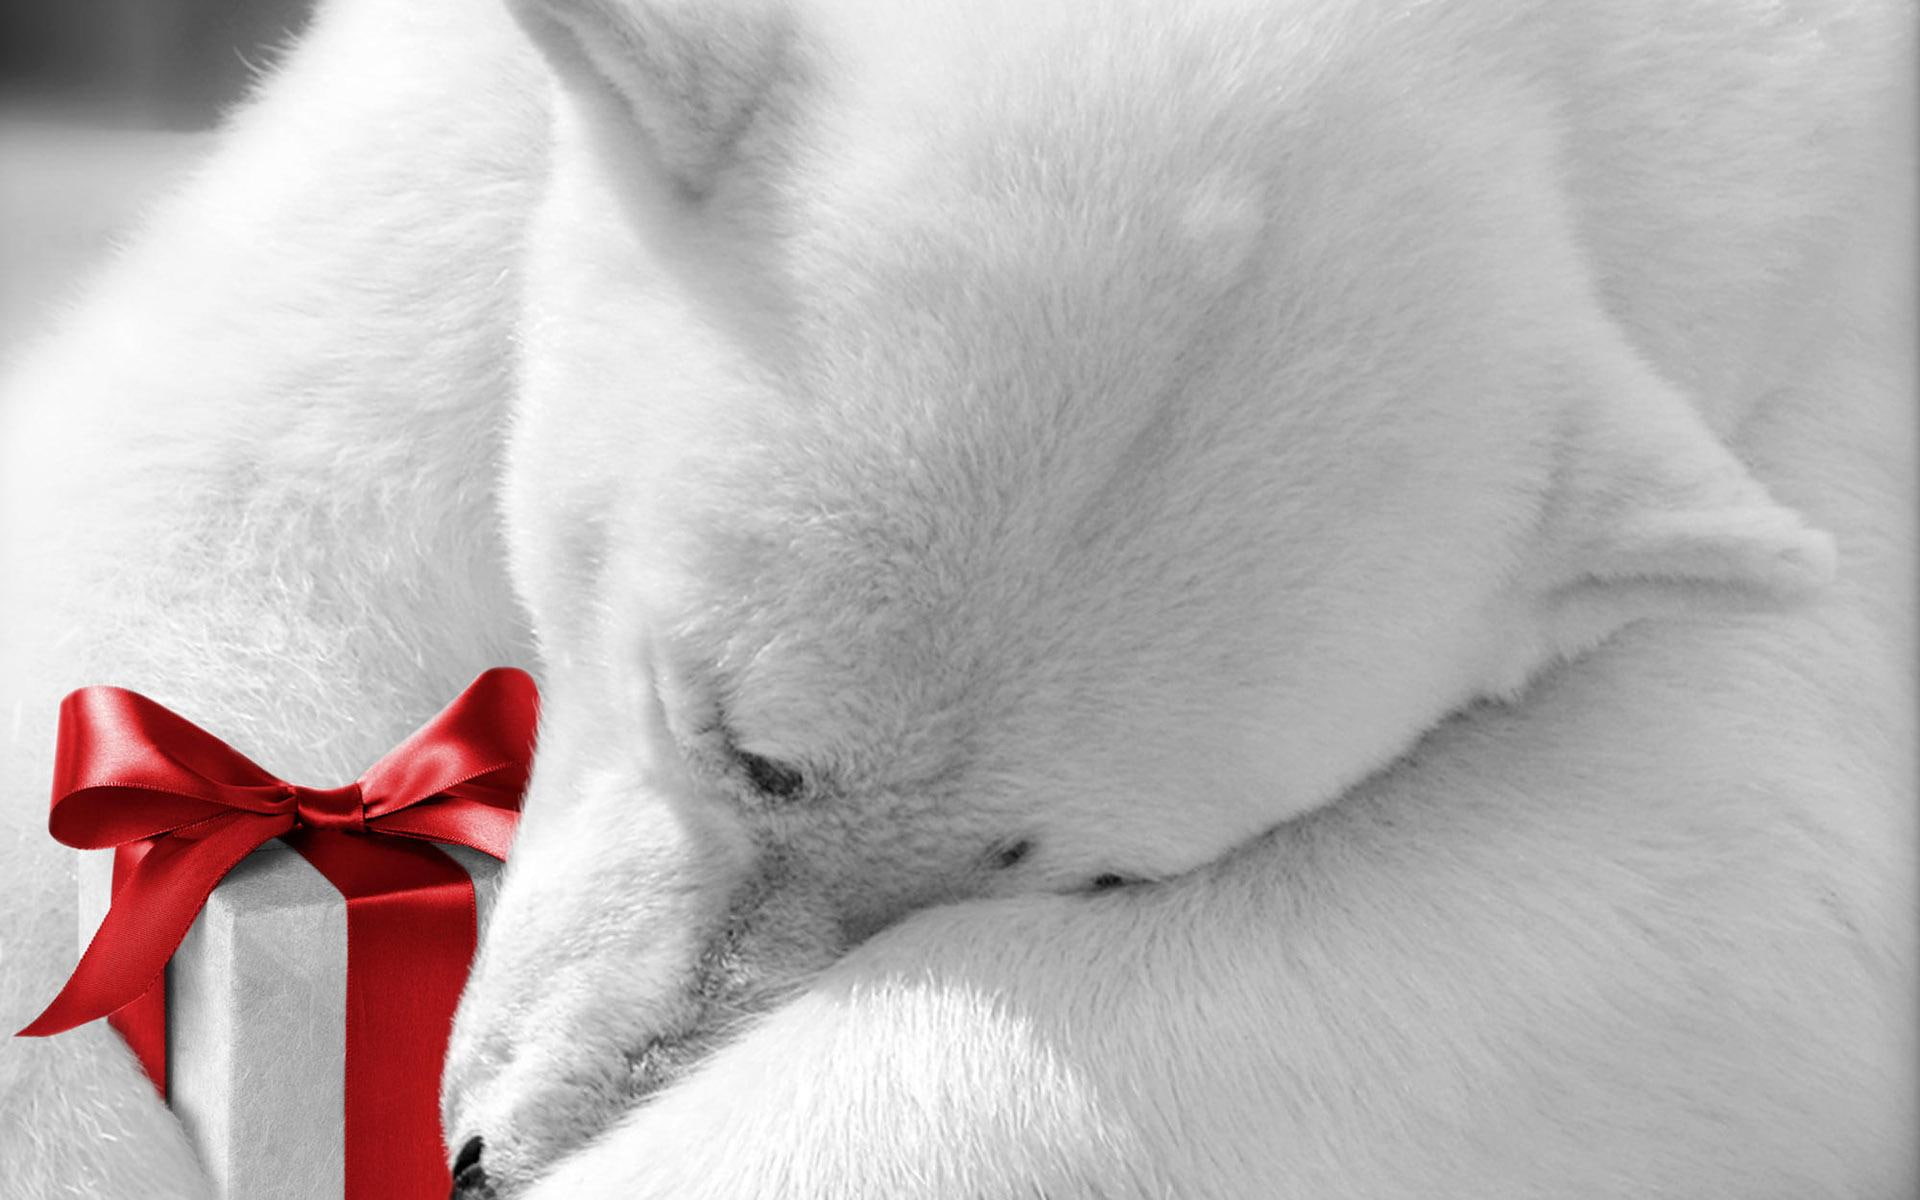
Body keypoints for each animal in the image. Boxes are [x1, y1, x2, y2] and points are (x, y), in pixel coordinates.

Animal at [1, 0, 1913, 1197]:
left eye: (1098, 874)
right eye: (731, 734)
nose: (501, 1153)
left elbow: (1701, 885)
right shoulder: (450, 112)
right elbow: (214, 500)